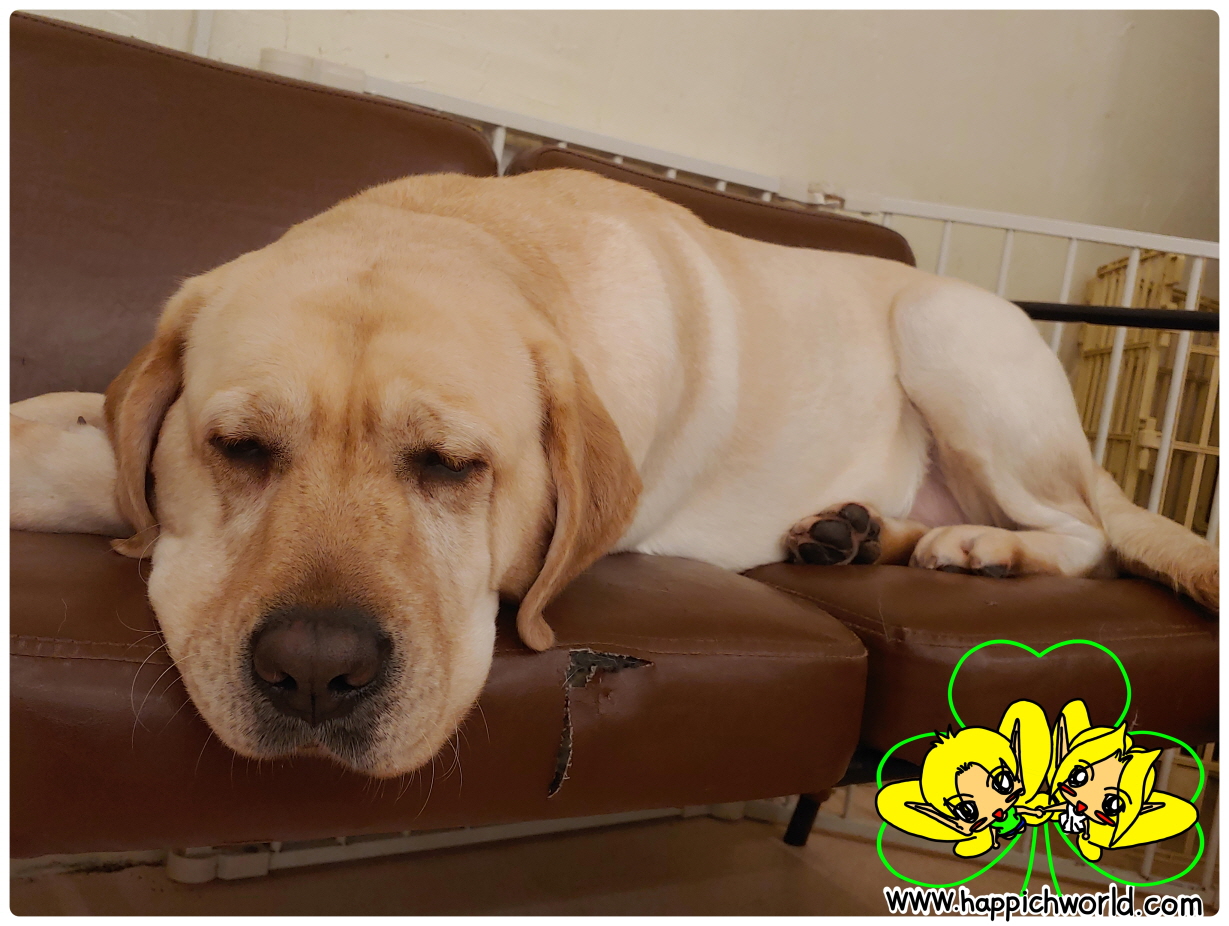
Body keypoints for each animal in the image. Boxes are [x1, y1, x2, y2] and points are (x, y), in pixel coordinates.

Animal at [11, 169, 1218, 777]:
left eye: (452, 465)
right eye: (241, 448)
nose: (314, 669)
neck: (471, 231)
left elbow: (92, 473)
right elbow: (89, 425)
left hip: (943, 331)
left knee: (1088, 531)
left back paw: (982, 545)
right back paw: (855, 532)